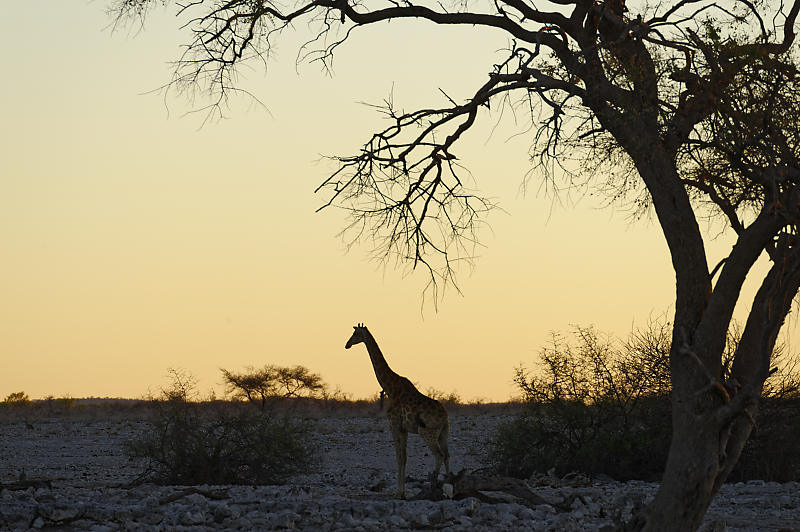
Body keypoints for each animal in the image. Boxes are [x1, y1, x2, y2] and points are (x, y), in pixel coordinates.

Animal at [344, 322, 450, 500]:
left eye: (355, 334)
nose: (347, 345)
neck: (390, 388)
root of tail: (445, 417)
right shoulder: (404, 428)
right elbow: (404, 457)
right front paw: (402, 491)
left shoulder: (393, 424)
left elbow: (398, 457)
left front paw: (399, 492)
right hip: (443, 433)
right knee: (447, 455)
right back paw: (451, 487)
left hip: (426, 432)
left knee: (439, 455)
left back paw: (433, 488)